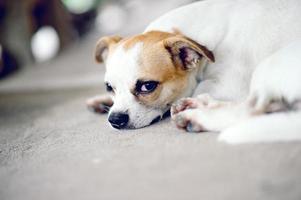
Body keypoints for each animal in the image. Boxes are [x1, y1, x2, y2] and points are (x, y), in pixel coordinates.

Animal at [86, 0, 300, 144]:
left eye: (147, 86)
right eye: (109, 87)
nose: (115, 119)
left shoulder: (229, 85)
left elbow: (200, 87)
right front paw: (101, 101)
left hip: (268, 65)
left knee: (252, 110)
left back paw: (198, 115)